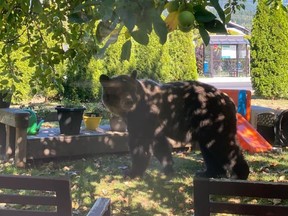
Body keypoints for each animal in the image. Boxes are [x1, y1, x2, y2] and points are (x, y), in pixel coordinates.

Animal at [100, 71, 249, 180]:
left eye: (132, 89)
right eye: (120, 90)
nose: (129, 101)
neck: (130, 111)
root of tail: (229, 100)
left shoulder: (144, 115)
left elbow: (140, 144)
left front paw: (132, 173)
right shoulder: (152, 123)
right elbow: (159, 144)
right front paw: (168, 168)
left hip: (213, 119)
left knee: (223, 145)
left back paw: (241, 174)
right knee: (209, 148)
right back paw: (210, 172)